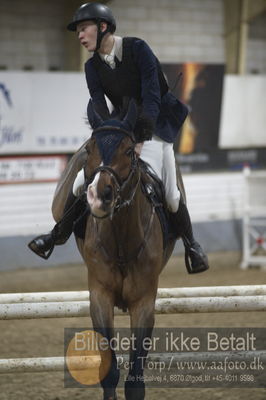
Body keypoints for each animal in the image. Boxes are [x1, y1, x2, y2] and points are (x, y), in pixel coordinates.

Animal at [75, 100, 182, 400]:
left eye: (127, 150)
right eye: (90, 148)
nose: (99, 196)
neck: (121, 240)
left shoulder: (143, 302)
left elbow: (135, 382)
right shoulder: (99, 296)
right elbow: (109, 372)